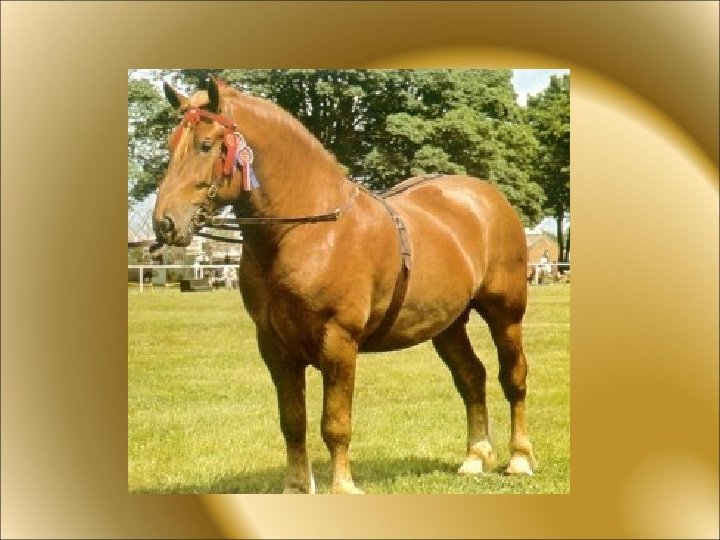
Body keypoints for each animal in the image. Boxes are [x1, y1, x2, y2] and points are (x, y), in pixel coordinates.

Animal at [152, 77, 536, 494]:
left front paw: (343, 486)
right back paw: (475, 457)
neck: (310, 231)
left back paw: (519, 459)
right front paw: (296, 487)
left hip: (505, 314)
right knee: (472, 377)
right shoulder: (274, 348)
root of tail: (488, 198)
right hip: (448, 325)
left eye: (206, 145)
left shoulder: (338, 342)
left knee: (513, 378)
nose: (165, 222)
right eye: (171, 145)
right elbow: (293, 422)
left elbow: (335, 424)